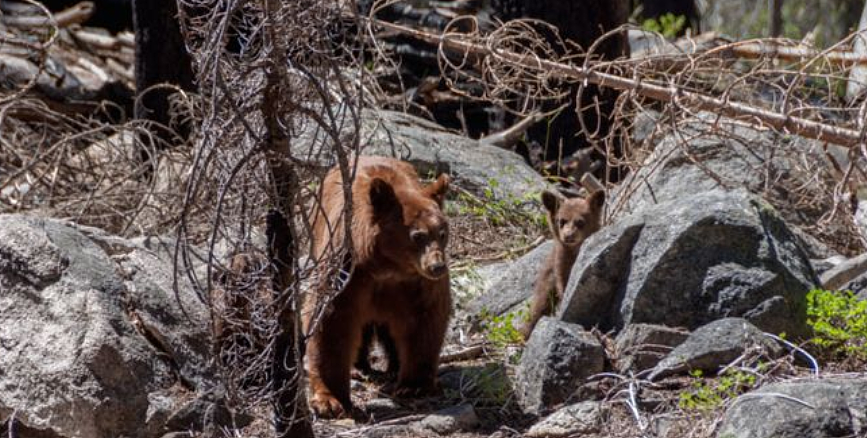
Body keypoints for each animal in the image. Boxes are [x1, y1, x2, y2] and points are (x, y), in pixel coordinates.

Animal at [303, 156, 452, 418]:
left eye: (442, 233)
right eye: (417, 235)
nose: (437, 267)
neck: (387, 265)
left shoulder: (415, 284)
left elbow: (425, 319)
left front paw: (414, 385)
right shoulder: (347, 271)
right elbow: (330, 321)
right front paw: (330, 400)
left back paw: (393, 368)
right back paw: (358, 367)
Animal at [521, 189, 605, 338]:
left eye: (580, 222)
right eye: (561, 221)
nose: (568, 235)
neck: (575, 251)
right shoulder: (560, 263)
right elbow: (562, 285)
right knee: (539, 305)